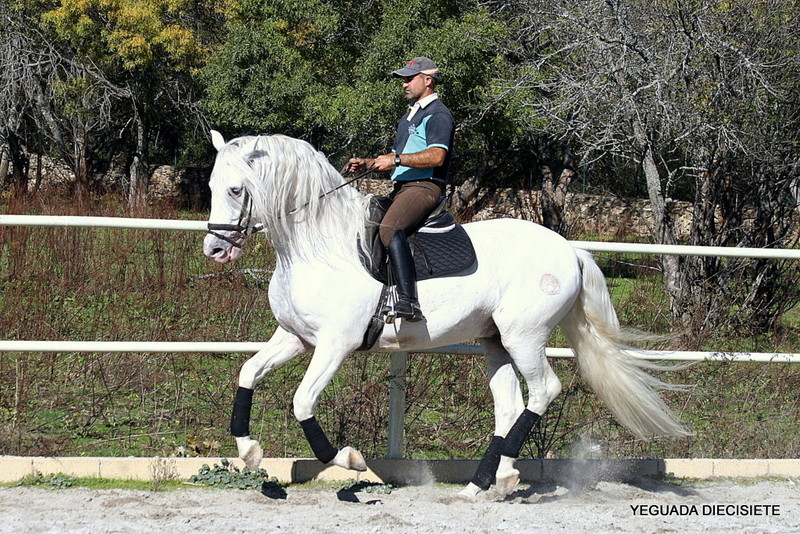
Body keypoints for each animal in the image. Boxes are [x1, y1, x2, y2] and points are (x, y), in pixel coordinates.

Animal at [202, 131, 690, 499]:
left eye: (235, 189)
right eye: (210, 188)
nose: (215, 250)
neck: (318, 247)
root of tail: (569, 249)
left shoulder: (334, 344)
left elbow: (303, 401)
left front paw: (348, 459)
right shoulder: (294, 337)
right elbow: (247, 373)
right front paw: (248, 450)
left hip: (525, 336)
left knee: (542, 391)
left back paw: (498, 476)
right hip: (494, 340)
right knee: (510, 405)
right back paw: (487, 483)